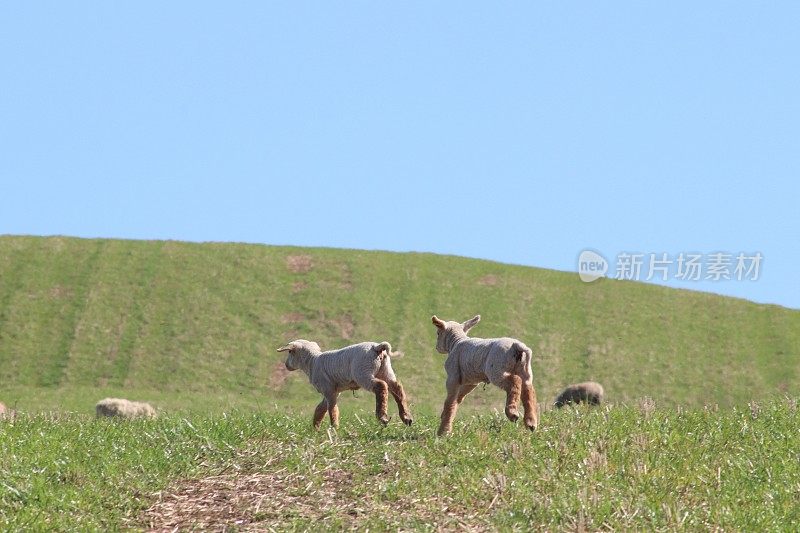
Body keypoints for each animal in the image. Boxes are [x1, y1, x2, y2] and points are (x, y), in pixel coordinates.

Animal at [276, 338, 412, 430]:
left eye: (289, 352)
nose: (286, 365)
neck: (312, 362)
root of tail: (376, 347)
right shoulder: (332, 391)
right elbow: (321, 408)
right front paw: (315, 427)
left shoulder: (328, 389)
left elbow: (332, 409)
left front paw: (334, 427)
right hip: (385, 370)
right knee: (397, 388)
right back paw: (406, 417)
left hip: (363, 373)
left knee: (381, 386)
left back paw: (382, 416)